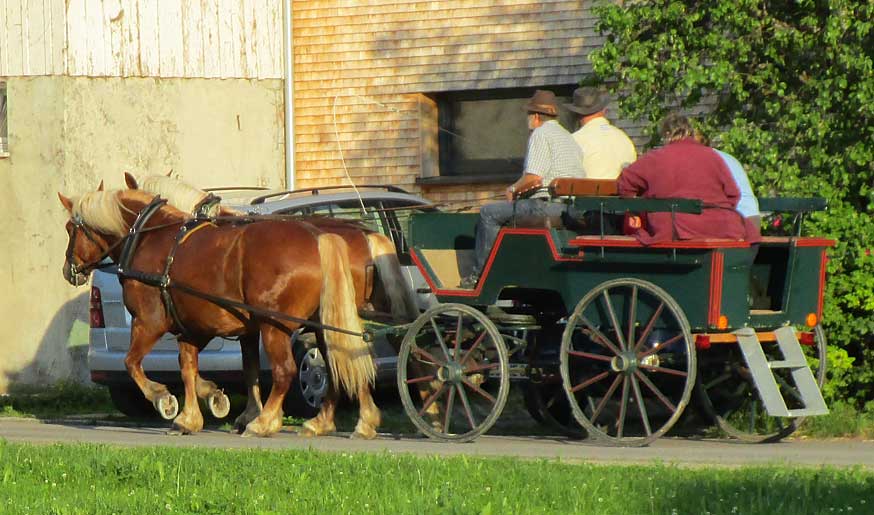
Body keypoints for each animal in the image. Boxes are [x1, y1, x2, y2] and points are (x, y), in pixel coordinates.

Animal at [58, 187, 378, 438]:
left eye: (70, 229)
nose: (68, 270)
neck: (149, 238)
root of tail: (319, 238)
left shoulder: (149, 322)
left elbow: (132, 363)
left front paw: (163, 398)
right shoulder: (193, 328)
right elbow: (189, 368)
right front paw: (194, 413)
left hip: (274, 326)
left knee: (286, 371)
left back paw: (265, 423)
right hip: (322, 324)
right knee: (346, 361)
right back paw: (350, 421)